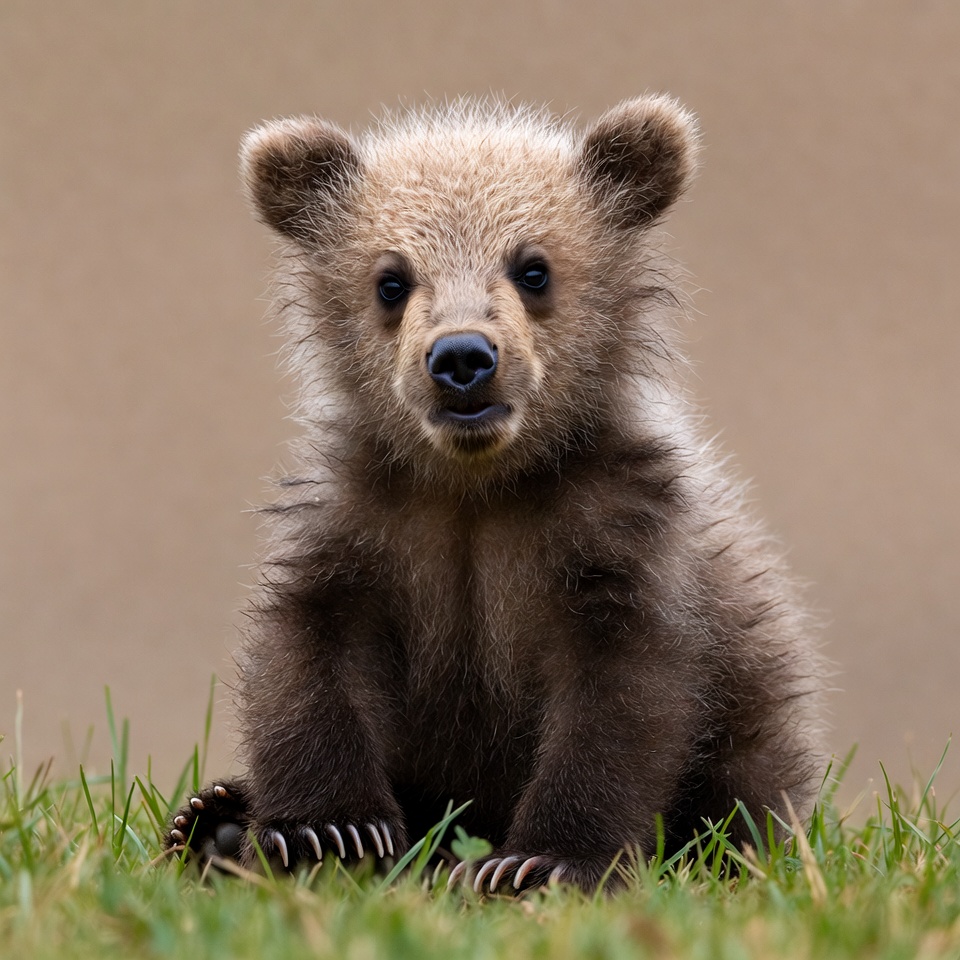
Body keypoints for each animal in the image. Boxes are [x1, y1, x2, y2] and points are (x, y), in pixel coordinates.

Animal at [165, 95, 823, 893]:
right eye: (391, 280)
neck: (476, 488)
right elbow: (310, 659)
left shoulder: (615, 540)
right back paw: (213, 820)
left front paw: (539, 861)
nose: (462, 357)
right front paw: (324, 831)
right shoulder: (362, 527)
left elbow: (620, 706)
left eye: (533, 268)